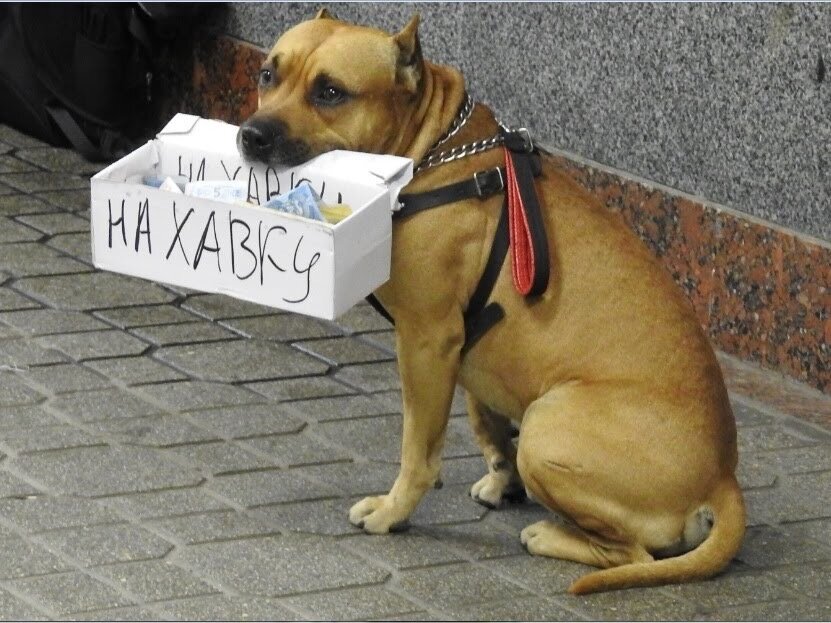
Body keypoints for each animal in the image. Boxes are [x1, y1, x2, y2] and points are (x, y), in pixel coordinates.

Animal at [239, 9, 748, 596]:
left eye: (330, 92)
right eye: (268, 74)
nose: (250, 135)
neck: (430, 151)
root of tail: (724, 478)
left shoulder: (427, 341)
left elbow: (418, 448)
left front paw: (393, 511)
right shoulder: (469, 351)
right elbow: (486, 421)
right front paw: (502, 482)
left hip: (549, 426)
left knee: (633, 553)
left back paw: (550, 535)